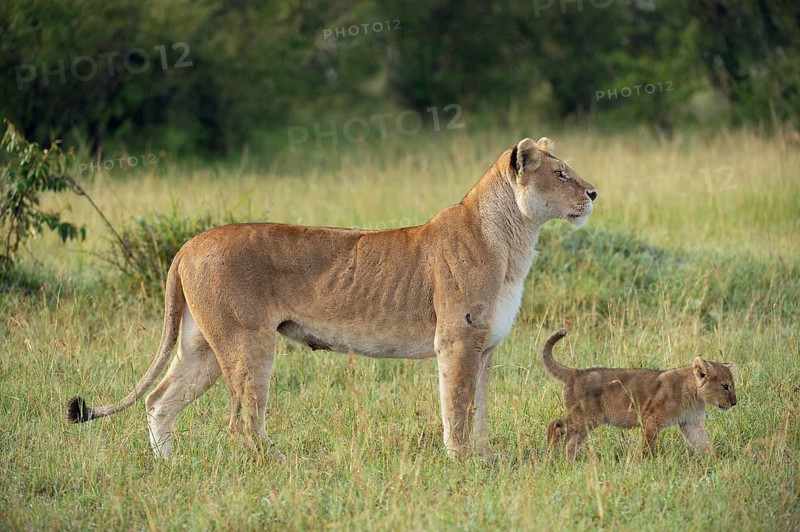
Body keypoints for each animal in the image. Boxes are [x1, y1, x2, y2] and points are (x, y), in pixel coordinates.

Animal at [67, 137, 597, 460]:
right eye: (561, 174)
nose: (594, 192)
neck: (514, 241)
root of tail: (189, 244)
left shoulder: (485, 348)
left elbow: (480, 408)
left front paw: (485, 459)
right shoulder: (457, 341)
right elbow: (458, 407)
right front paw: (461, 462)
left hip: (203, 347)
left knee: (159, 400)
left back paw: (170, 466)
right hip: (246, 342)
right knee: (243, 422)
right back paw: (279, 465)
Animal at [542, 329, 737, 461]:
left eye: (732, 385)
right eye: (725, 386)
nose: (735, 402)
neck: (695, 395)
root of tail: (575, 372)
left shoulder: (691, 423)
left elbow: (704, 444)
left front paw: (715, 463)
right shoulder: (651, 420)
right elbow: (647, 447)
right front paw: (645, 464)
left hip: (585, 423)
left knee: (570, 443)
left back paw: (570, 464)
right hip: (585, 418)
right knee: (555, 425)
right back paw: (550, 458)